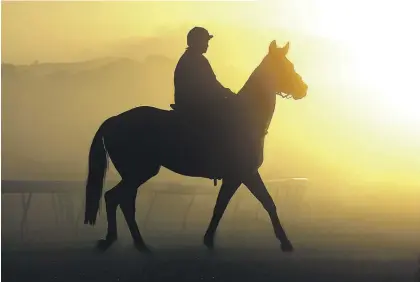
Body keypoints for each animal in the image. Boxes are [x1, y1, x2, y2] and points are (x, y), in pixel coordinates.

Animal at [84, 39, 308, 251]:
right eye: (286, 66)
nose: (303, 89)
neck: (245, 116)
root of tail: (113, 120)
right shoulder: (244, 173)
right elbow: (260, 203)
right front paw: (285, 243)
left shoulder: (239, 176)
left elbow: (228, 205)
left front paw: (209, 239)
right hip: (139, 171)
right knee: (117, 198)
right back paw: (123, 241)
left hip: (135, 173)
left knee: (121, 200)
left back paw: (136, 243)